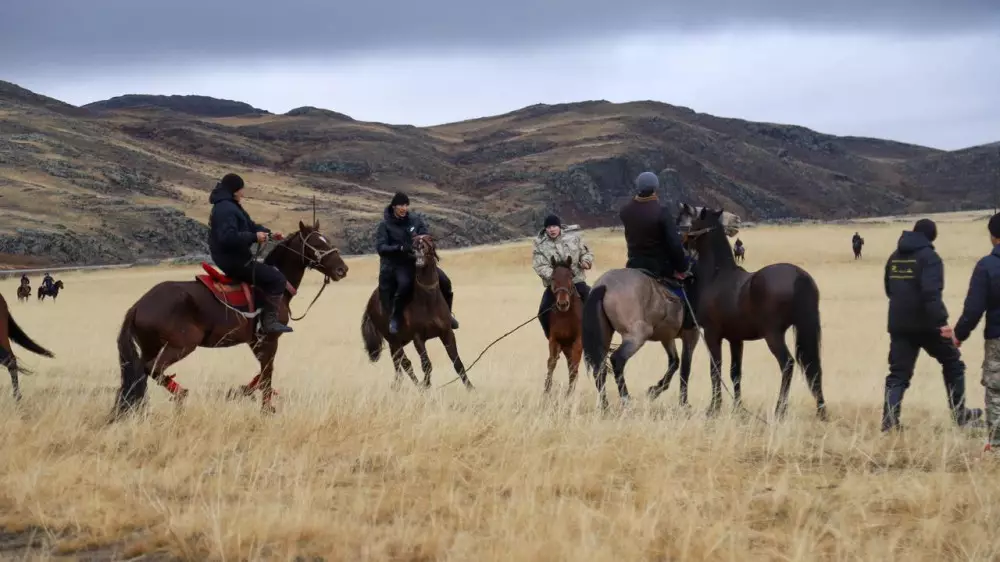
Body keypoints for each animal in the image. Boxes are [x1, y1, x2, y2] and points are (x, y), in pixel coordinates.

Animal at [111, 221, 348, 418]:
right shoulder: (270, 339)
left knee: (140, 376)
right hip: (181, 345)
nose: (342, 269)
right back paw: (181, 395)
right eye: (316, 244)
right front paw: (265, 408)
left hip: (152, 346)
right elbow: (267, 372)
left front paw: (241, 392)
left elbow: (263, 373)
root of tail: (139, 305)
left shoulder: (255, 341)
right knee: (152, 369)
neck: (275, 288)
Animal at [362, 232, 474, 390]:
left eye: (429, 240)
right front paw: (426, 386)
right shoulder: (418, 338)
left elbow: (458, 363)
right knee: (405, 363)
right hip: (393, 339)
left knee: (397, 362)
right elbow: (426, 365)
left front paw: (471, 388)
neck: (428, 300)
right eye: (413, 242)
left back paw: (398, 385)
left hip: (400, 341)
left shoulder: (447, 333)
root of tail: (371, 301)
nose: (418, 248)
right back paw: (416, 386)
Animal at [544, 256, 584, 396]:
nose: (562, 304)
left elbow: (574, 368)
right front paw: (546, 392)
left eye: (571, 276)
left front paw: (569, 396)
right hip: (566, 348)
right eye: (553, 277)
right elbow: (551, 363)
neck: (565, 316)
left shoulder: (578, 341)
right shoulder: (554, 340)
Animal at [684, 208, 824, 418]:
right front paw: (738, 408)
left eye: (693, 224)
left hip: (773, 335)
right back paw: (821, 411)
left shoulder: (712, 335)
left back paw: (779, 410)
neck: (718, 276)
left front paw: (713, 408)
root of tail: (799, 276)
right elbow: (735, 373)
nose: (684, 243)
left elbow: (715, 370)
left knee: (787, 364)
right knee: (812, 367)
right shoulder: (735, 339)